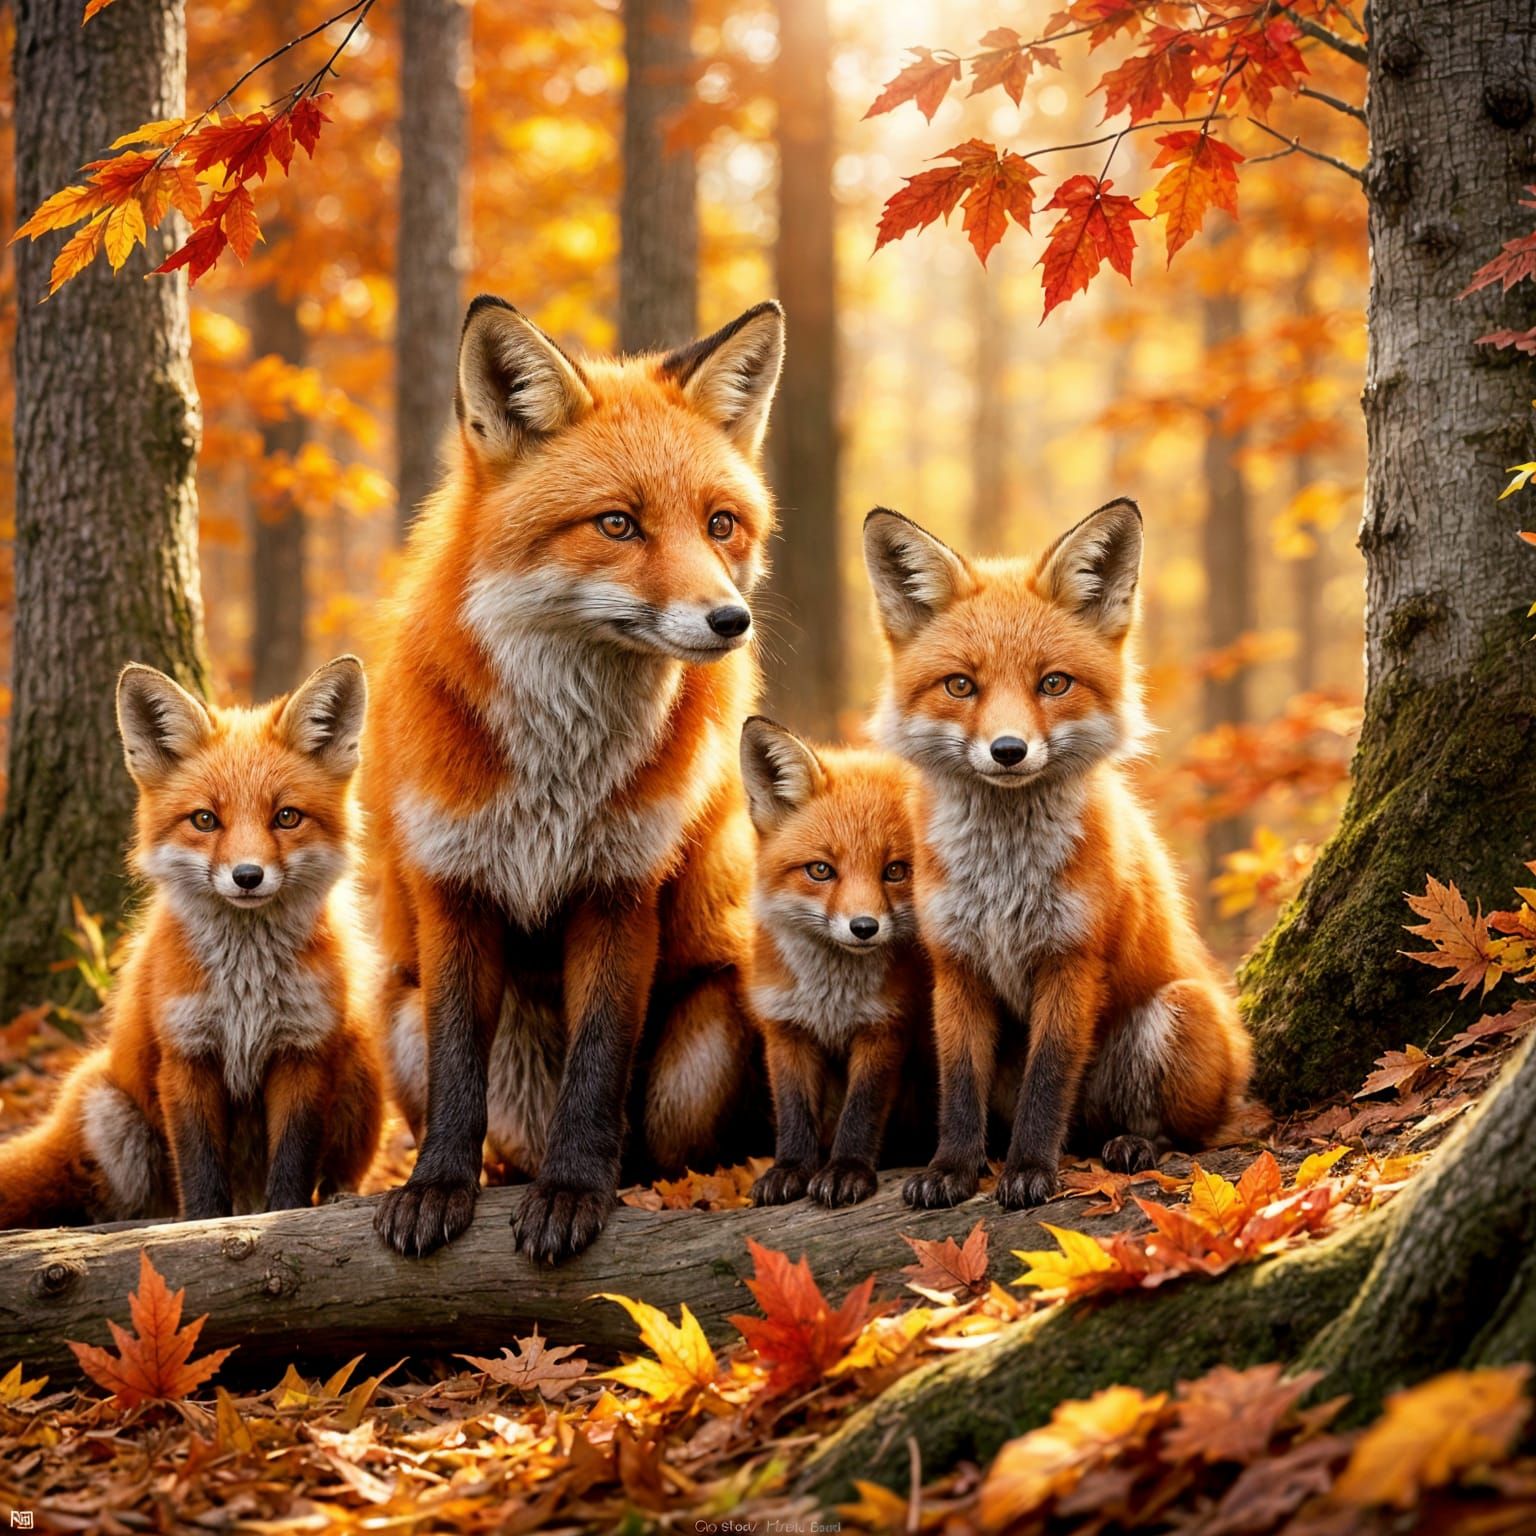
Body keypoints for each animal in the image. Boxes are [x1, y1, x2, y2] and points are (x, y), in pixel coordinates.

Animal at [0, 658, 383, 1228]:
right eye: (205, 819)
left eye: (286, 817)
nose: (247, 876)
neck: (246, 990)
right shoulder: (186, 1054)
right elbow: (200, 1172)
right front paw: (200, 1229)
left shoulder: (303, 1050)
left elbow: (292, 1170)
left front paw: (284, 1219)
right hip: (113, 1112)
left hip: (360, 1067)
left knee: (341, 1170)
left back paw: (341, 1197)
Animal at [366, 294, 785, 1264]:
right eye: (617, 524)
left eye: (720, 524)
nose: (730, 620)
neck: (562, 768)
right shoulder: (454, 887)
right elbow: (457, 1068)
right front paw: (438, 1187)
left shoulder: (621, 888)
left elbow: (596, 1066)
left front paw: (573, 1193)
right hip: (394, 1011)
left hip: (707, 1037)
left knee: (668, 1150)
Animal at [739, 719, 932, 1209]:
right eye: (821, 870)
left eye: (896, 871)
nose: (864, 927)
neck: (831, 1000)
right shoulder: (785, 1027)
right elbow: (793, 1110)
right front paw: (790, 1169)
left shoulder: (884, 1026)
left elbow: (861, 1110)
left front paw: (846, 1170)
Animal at [862, 500, 1251, 1212]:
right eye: (961, 686)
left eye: (1053, 683)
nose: (1008, 750)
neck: (1003, 879)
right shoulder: (956, 965)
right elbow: (960, 1087)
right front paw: (953, 1169)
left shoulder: (1072, 959)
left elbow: (1048, 1081)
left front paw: (1028, 1172)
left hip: (1177, 1015)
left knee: (1184, 1134)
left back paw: (1134, 1145)